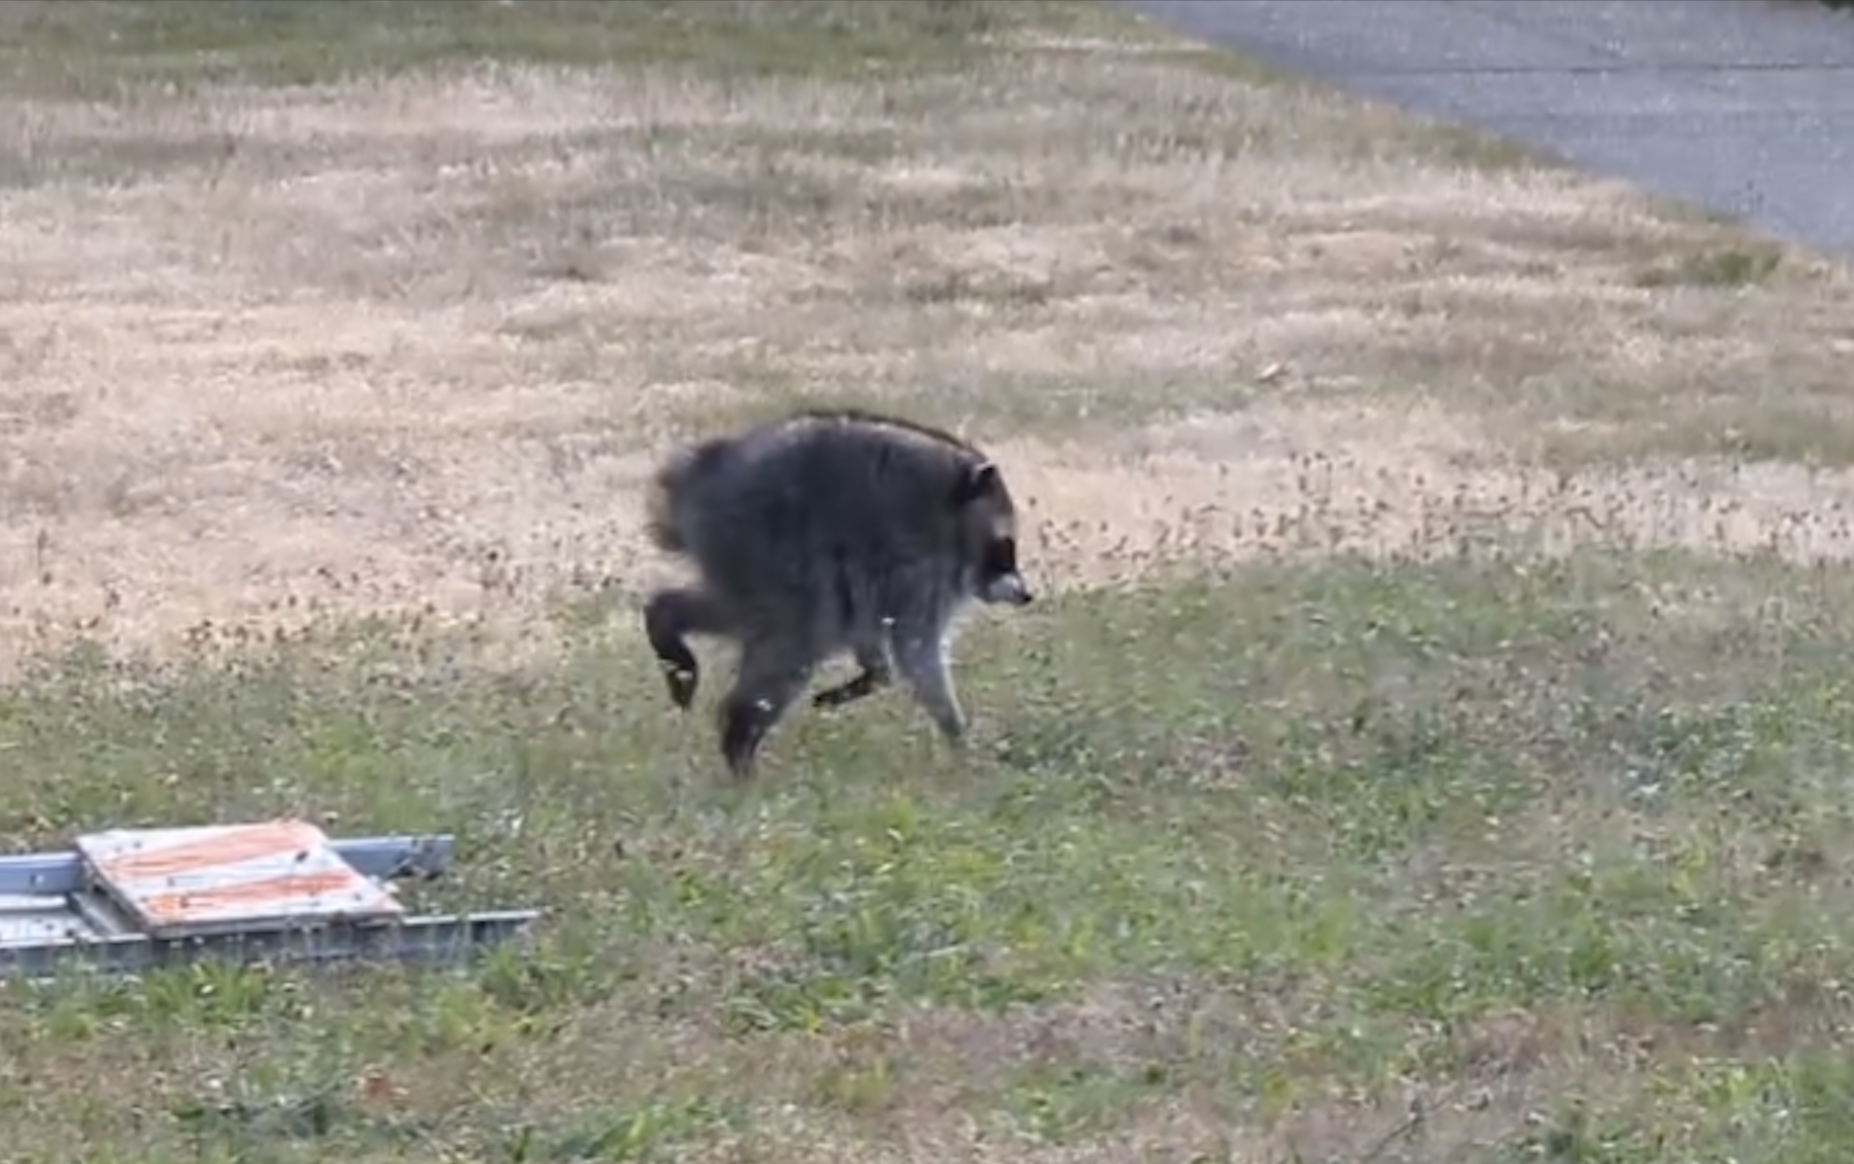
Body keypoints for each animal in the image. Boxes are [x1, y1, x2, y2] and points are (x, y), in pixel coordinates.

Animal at [642, 407, 1034, 778]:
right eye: (1006, 547)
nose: (1026, 595)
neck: (953, 510)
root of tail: (699, 474)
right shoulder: (919, 571)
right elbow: (916, 652)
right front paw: (957, 734)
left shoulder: (881, 582)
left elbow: (873, 638)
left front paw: (874, 676)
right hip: (760, 543)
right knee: (795, 637)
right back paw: (740, 740)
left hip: (743, 557)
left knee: (746, 615)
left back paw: (664, 618)